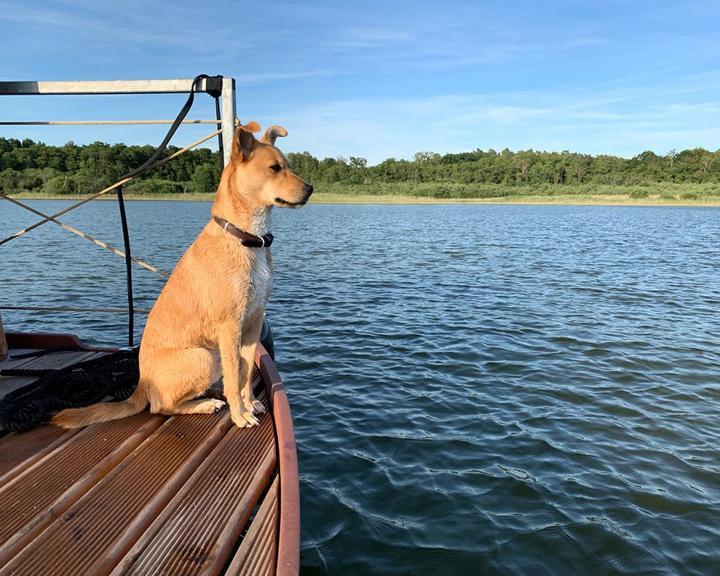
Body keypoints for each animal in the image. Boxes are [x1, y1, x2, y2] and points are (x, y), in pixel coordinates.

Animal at [53, 121, 312, 428]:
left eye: (289, 166)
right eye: (274, 168)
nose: (310, 189)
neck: (246, 238)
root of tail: (141, 385)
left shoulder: (253, 320)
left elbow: (246, 373)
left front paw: (249, 404)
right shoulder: (229, 325)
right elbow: (234, 375)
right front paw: (240, 415)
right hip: (206, 356)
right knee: (160, 406)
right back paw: (205, 404)